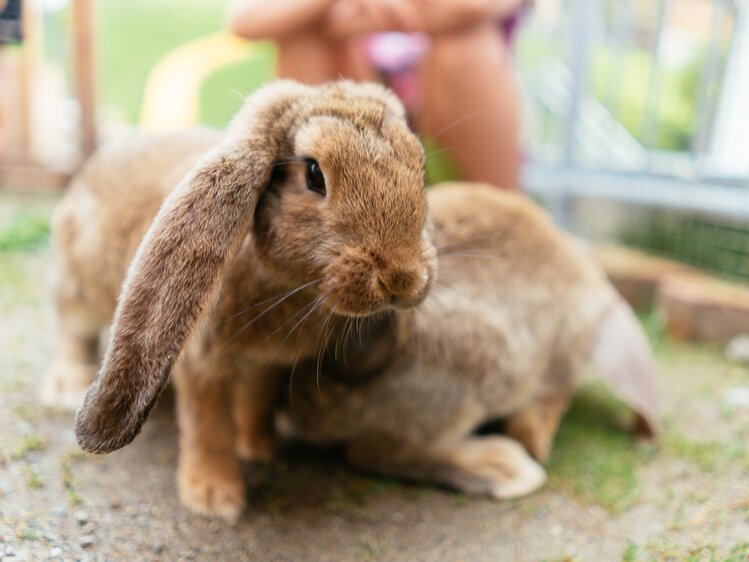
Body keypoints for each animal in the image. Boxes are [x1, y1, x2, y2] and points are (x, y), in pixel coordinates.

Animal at [43, 79, 656, 520]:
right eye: (314, 174)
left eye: (419, 167)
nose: (403, 279)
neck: (287, 288)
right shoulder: (202, 363)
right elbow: (206, 422)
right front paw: (214, 497)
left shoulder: (272, 367)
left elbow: (255, 403)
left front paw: (260, 448)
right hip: (76, 287)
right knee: (71, 329)